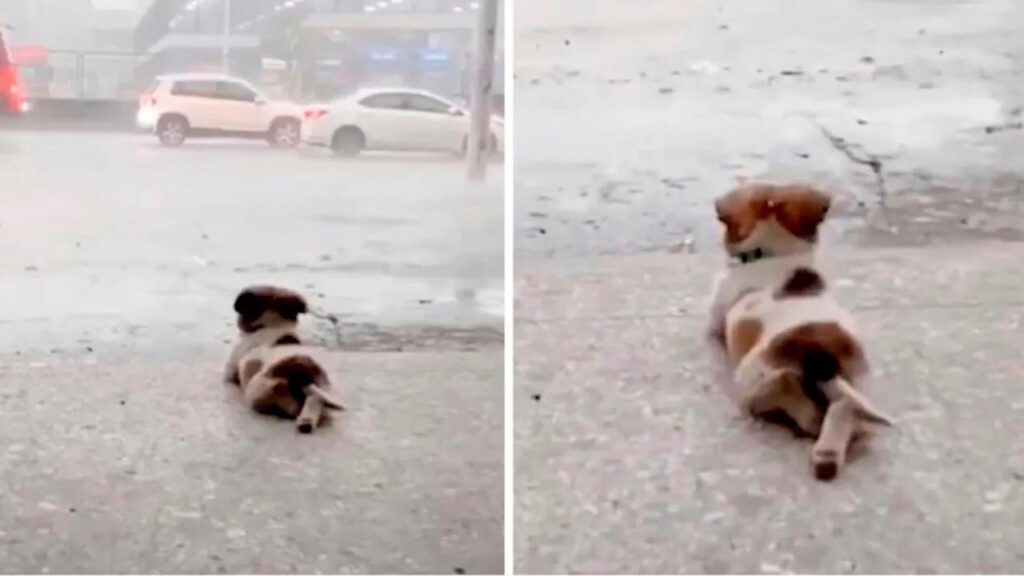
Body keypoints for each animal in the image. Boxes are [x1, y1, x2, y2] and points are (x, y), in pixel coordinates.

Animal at [224, 284, 344, 432]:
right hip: (319, 394)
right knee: (313, 402)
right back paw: (305, 421)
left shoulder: (230, 371)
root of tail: (307, 373)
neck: (276, 324)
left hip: (258, 388)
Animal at [708, 181, 892, 477]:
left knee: (789, 396)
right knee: (845, 411)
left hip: (752, 374)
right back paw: (827, 454)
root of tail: (820, 351)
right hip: (858, 382)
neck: (775, 254)